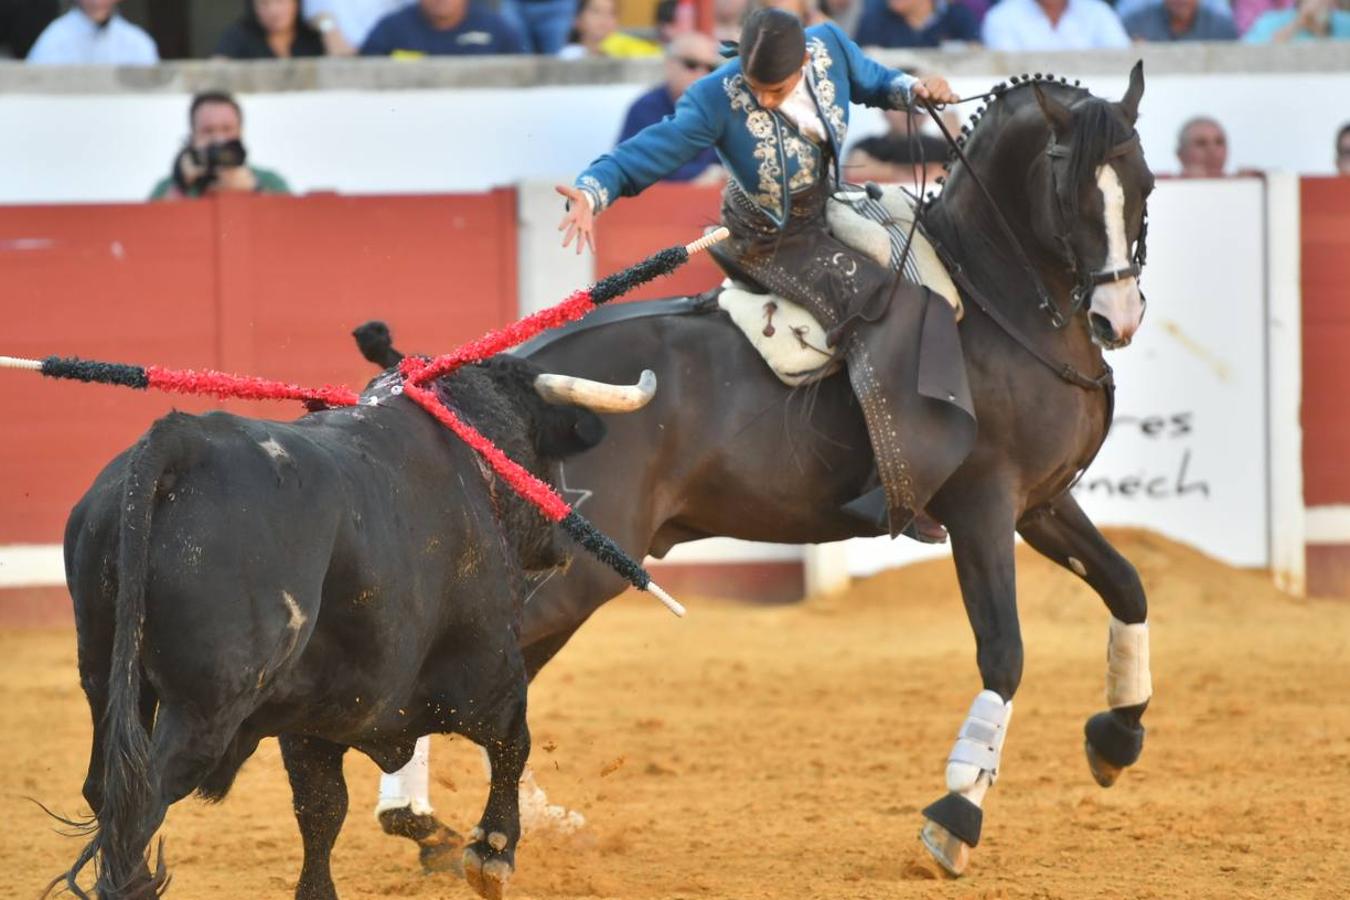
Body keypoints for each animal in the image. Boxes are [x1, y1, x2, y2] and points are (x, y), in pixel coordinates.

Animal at [56, 358, 637, 900]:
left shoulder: (307, 718)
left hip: (106, 677)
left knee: (104, 788)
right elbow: (513, 742)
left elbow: (321, 810)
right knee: (141, 804)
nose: (562, 542)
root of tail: (182, 441)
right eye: (536, 452)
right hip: (205, 705)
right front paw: (492, 853)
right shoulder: (491, 668)